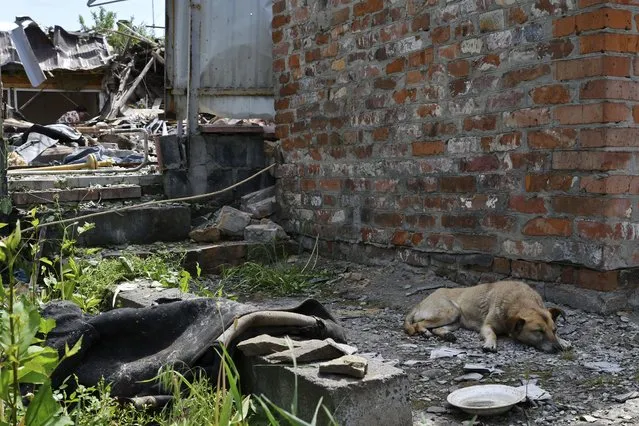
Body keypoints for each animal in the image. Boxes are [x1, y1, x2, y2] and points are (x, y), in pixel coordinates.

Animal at [402, 280, 572, 352]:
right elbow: (492, 334)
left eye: (554, 330)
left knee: (438, 329)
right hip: (451, 311)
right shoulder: (487, 326)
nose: (557, 349)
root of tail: (421, 303)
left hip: (456, 320)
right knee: (419, 324)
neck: (520, 301)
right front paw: (490, 344)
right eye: (539, 332)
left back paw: (447, 335)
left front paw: (563, 341)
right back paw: (424, 332)